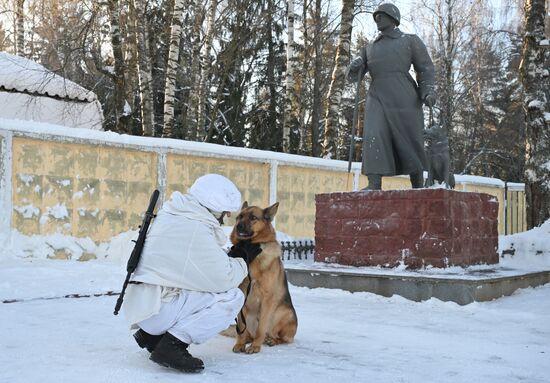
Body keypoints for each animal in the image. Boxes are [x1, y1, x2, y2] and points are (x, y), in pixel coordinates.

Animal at [231, 202, 300, 356]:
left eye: (253, 217)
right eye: (239, 217)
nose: (238, 226)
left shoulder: (267, 299)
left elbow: (261, 328)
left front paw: (255, 347)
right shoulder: (243, 296)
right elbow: (240, 328)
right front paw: (240, 344)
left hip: (284, 314)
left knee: (280, 338)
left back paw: (271, 340)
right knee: (247, 333)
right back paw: (248, 340)